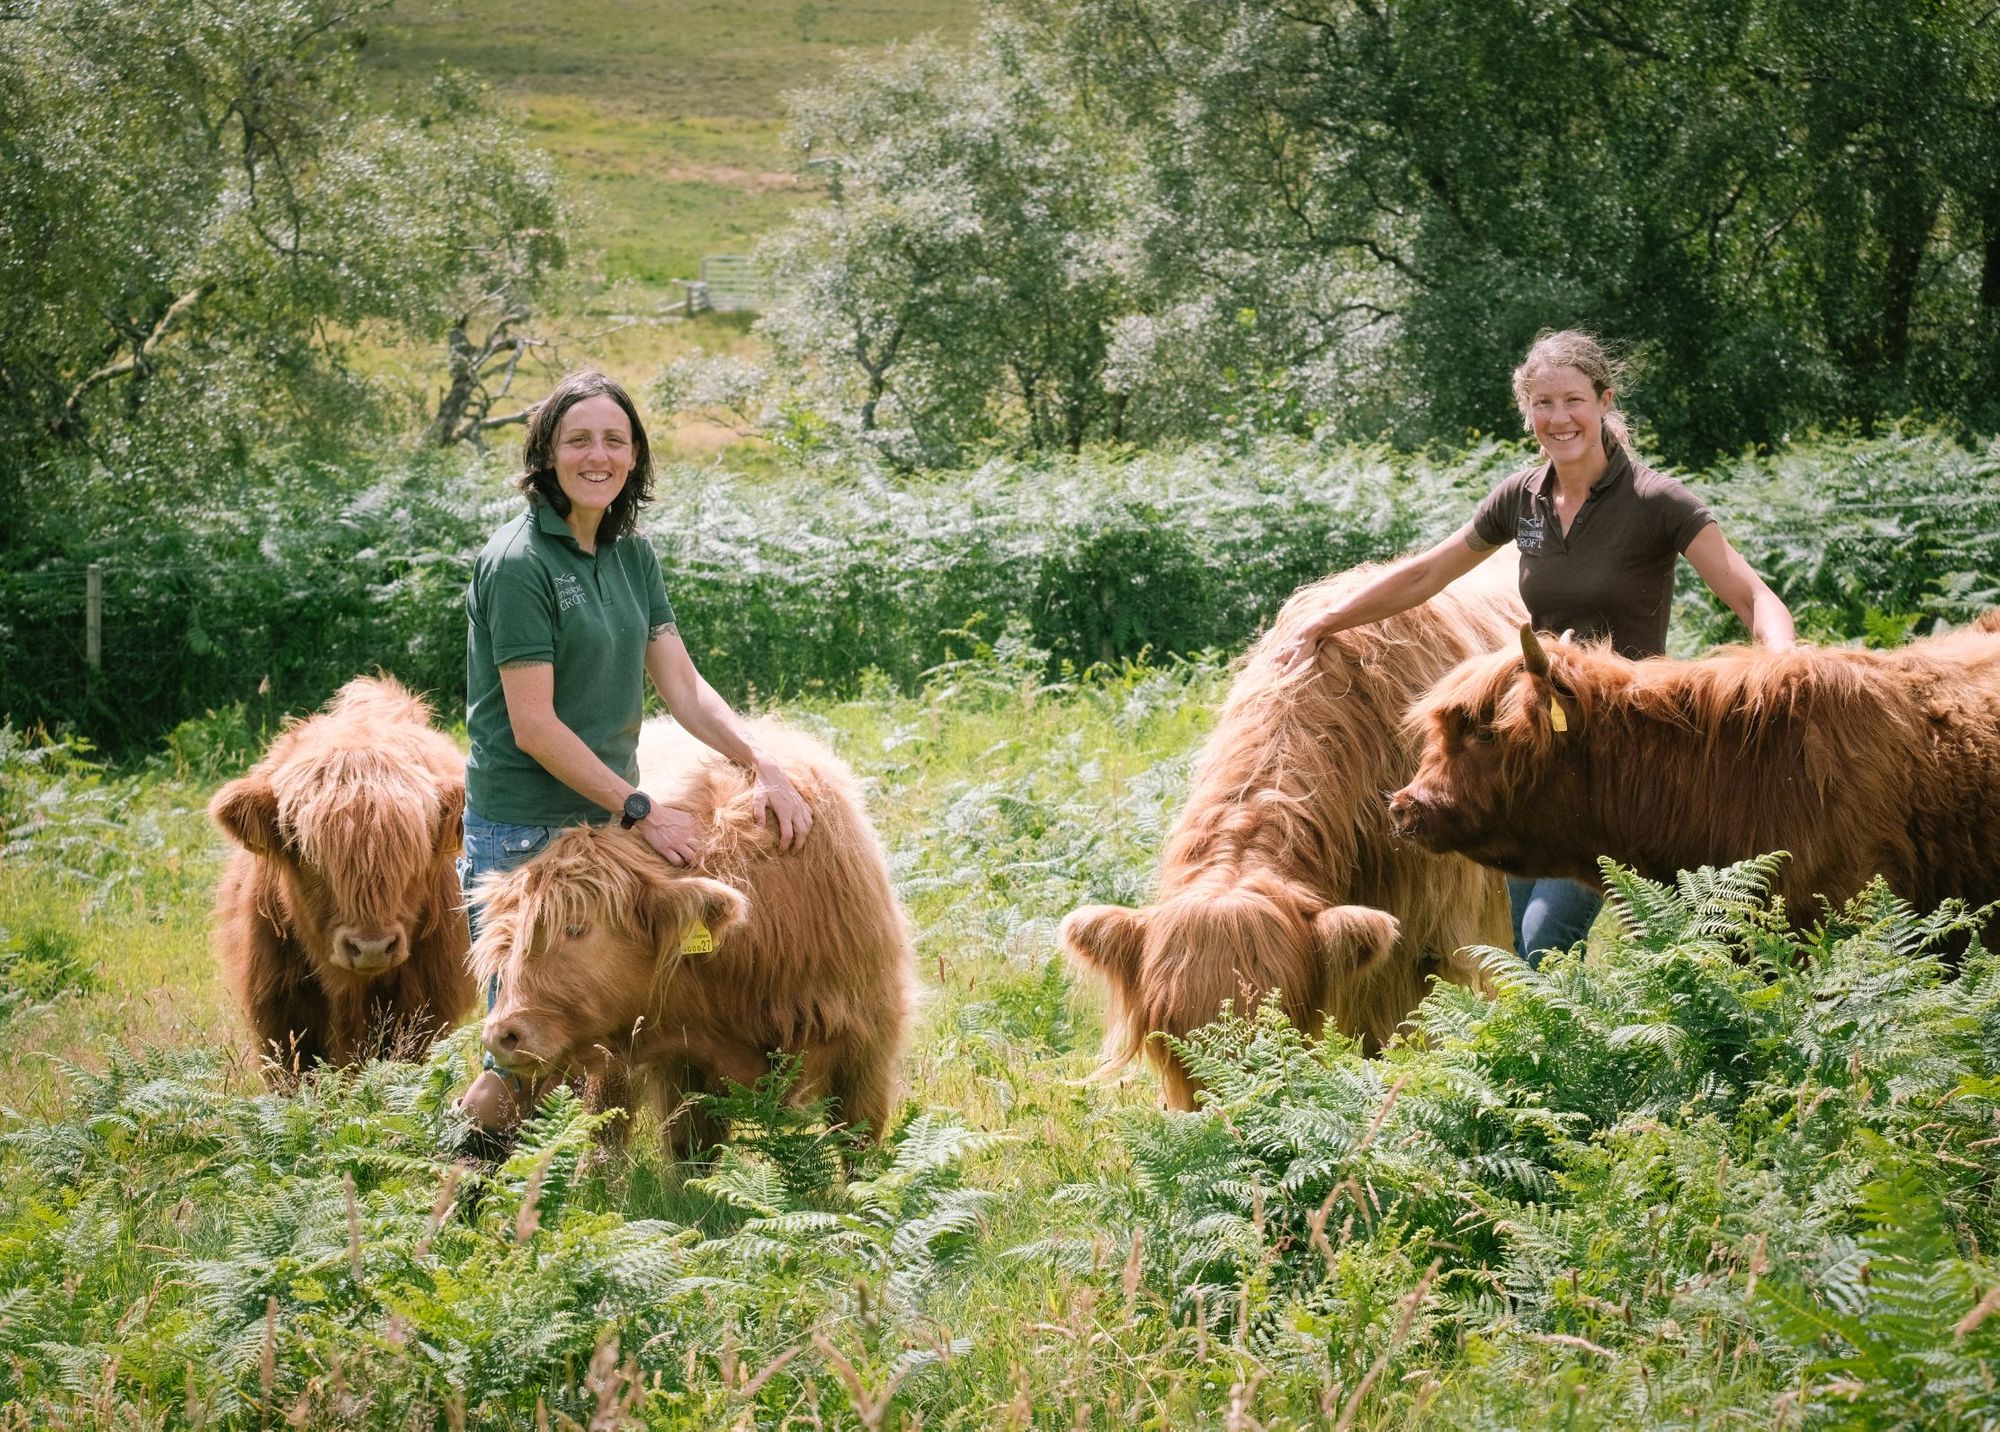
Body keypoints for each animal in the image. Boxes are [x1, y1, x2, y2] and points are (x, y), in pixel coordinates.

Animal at [468, 720, 916, 1144]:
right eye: (513, 937)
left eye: (576, 928)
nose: (500, 1035)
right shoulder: (682, 1068)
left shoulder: (869, 1048)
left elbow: (860, 1142)